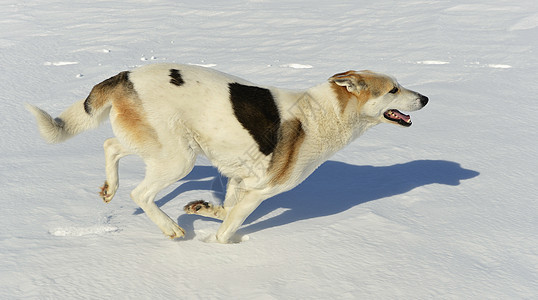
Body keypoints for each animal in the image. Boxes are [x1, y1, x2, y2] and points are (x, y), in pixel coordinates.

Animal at [26, 63, 428, 244]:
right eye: (393, 90)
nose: (424, 98)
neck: (325, 112)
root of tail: (126, 75)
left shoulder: (241, 180)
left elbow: (224, 210)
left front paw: (201, 208)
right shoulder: (260, 191)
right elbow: (228, 227)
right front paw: (222, 248)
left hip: (161, 146)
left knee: (111, 146)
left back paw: (110, 188)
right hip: (179, 158)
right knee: (141, 194)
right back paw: (171, 229)